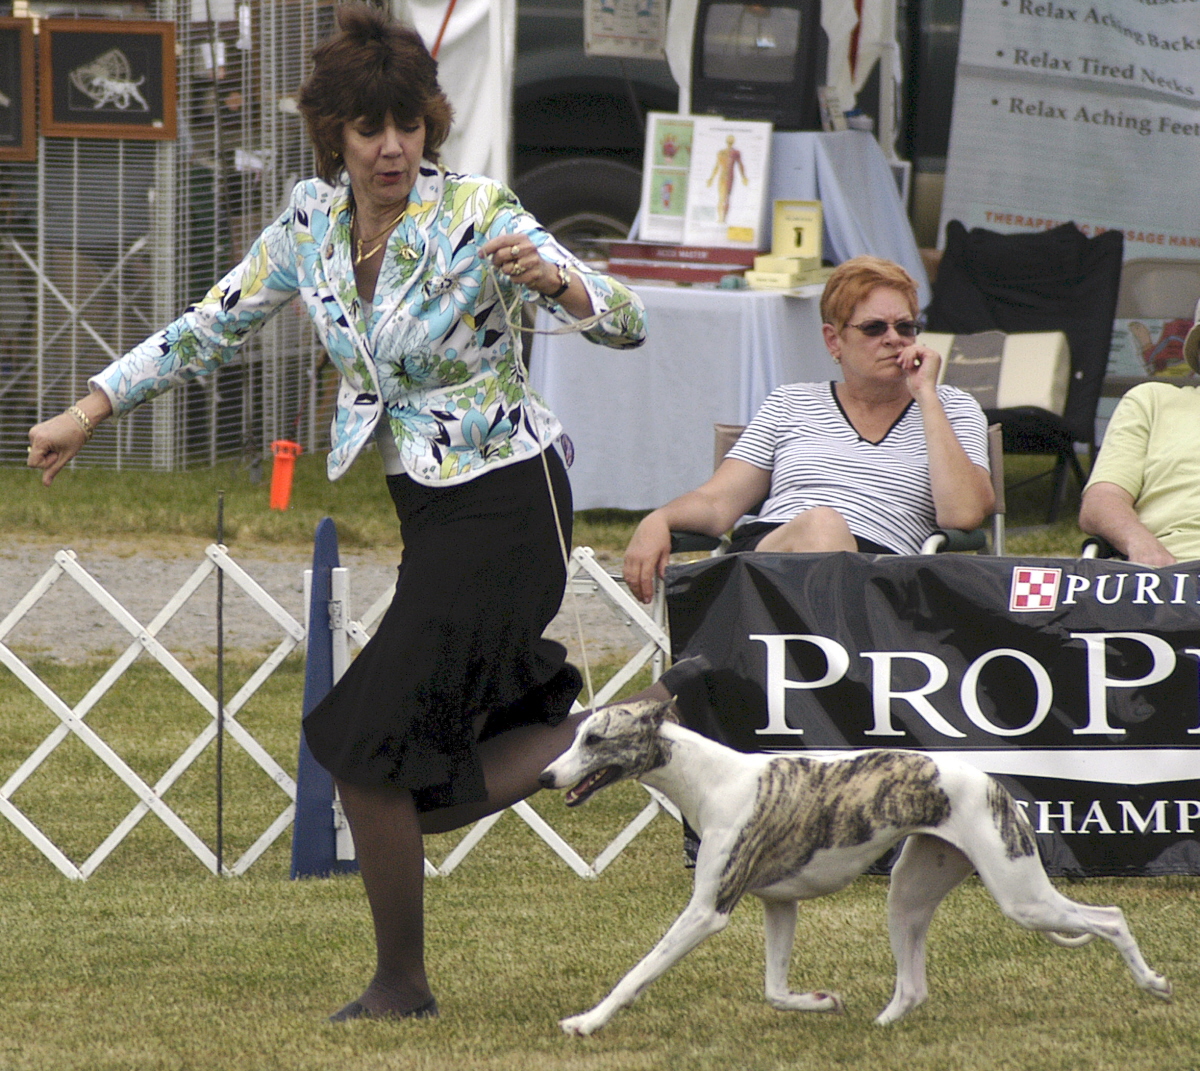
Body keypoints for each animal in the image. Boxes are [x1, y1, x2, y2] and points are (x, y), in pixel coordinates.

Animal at [538, 699, 1172, 1035]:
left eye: (595, 738)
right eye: (576, 734)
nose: (545, 776)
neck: (711, 780)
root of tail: (993, 781)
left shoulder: (706, 912)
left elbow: (638, 972)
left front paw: (587, 1022)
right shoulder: (779, 903)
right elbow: (775, 990)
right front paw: (820, 1002)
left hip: (1021, 897)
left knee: (1111, 916)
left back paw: (1154, 983)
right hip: (910, 894)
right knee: (913, 986)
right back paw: (880, 1026)